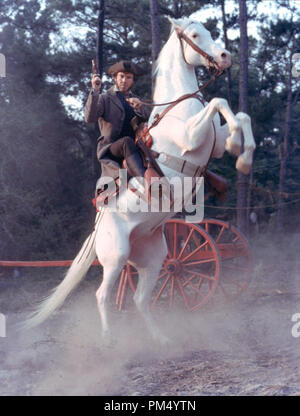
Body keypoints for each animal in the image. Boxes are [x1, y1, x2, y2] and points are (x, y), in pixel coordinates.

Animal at [24, 16, 255, 342]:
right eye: (195, 35)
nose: (225, 57)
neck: (179, 107)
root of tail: (98, 228)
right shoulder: (191, 136)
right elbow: (220, 102)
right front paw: (239, 148)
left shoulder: (212, 142)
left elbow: (242, 117)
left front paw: (243, 156)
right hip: (115, 259)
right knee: (102, 296)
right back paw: (109, 340)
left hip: (153, 260)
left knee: (140, 299)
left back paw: (160, 339)